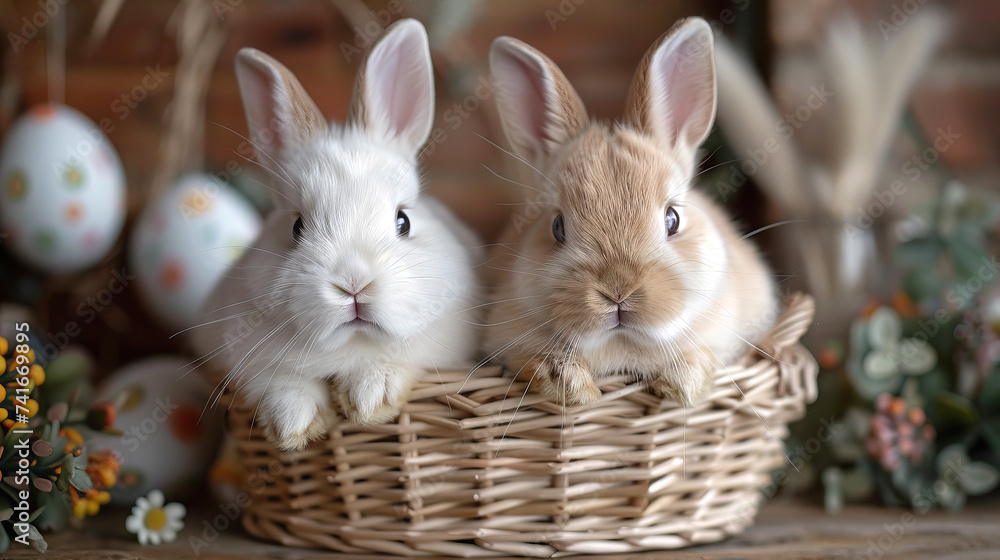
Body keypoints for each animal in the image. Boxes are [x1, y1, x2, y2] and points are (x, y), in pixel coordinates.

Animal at [193, 19, 482, 451]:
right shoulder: (242, 354)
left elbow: (393, 360)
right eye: (296, 226)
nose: (354, 285)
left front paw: (369, 399)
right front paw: (294, 426)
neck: (352, 345)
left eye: (403, 222)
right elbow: (280, 383)